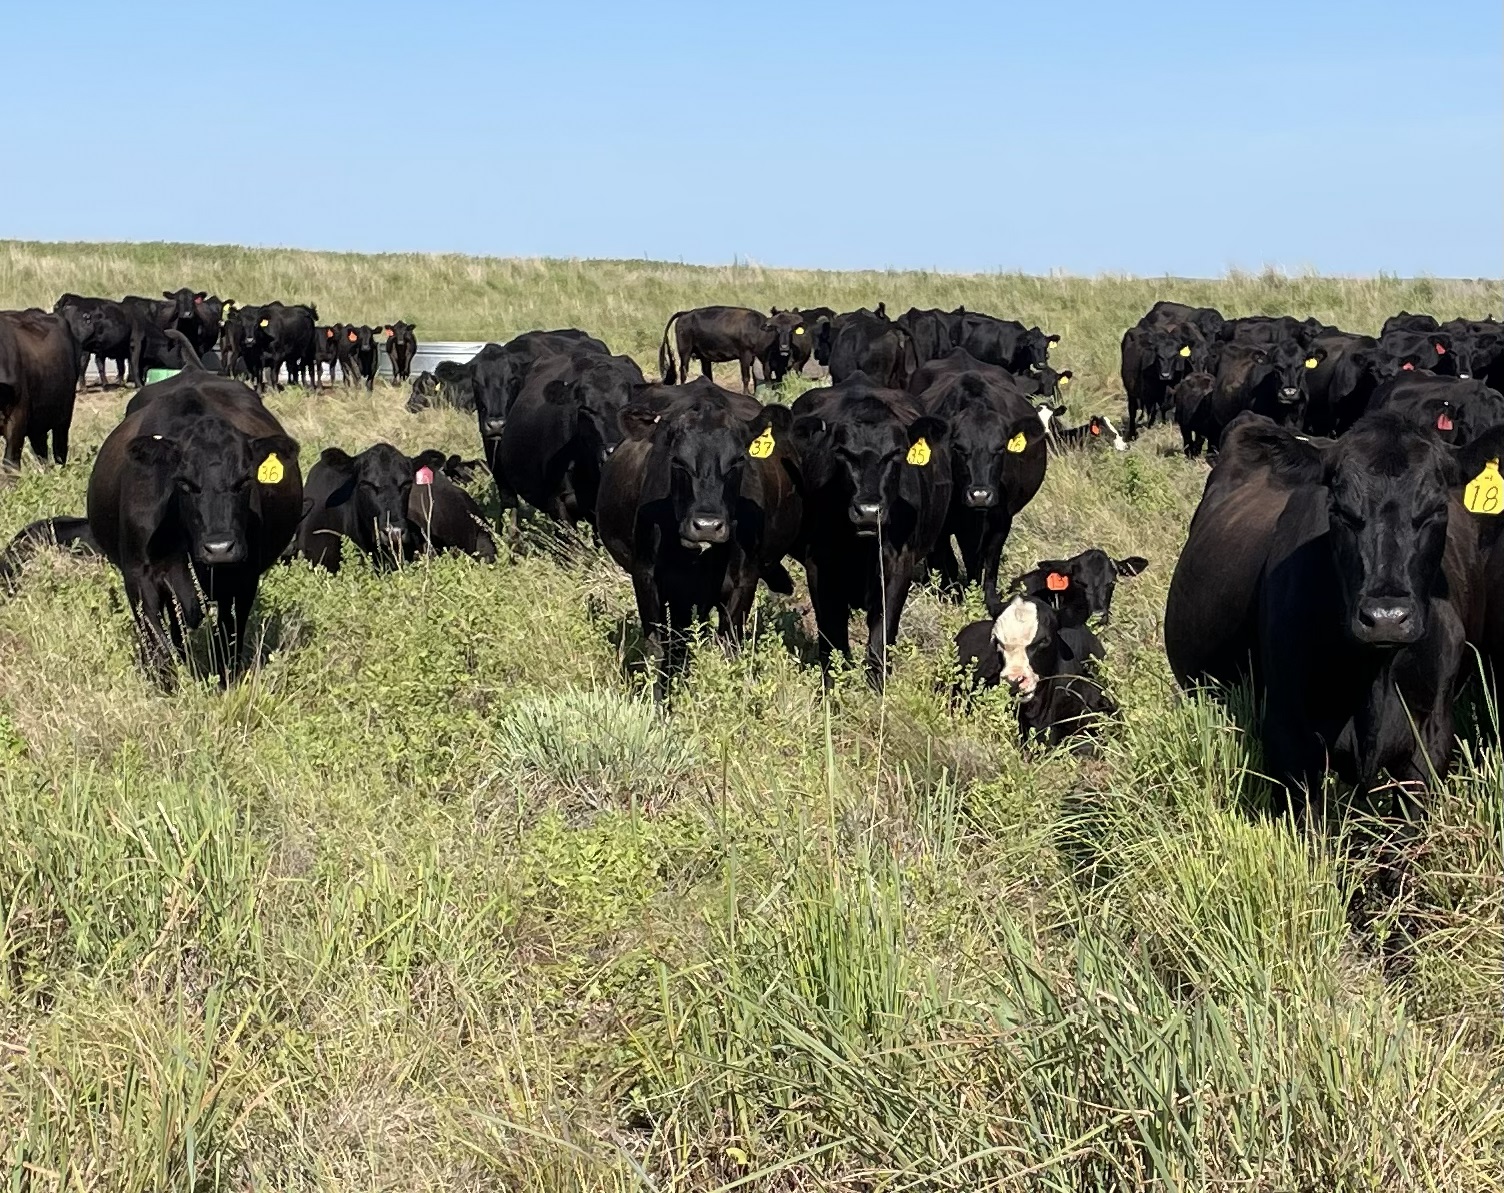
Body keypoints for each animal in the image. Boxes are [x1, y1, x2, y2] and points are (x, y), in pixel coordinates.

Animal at [0, 309, 79, 470]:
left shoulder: (17, 416)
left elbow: (10, 462)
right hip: (39, 423)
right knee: (42, 452)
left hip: (64, 416)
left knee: (59, 450)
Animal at [596, 386, 800, 694]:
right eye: (677, 461)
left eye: (738, 460)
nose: (707, 526)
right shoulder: (647, 577)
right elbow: (657, 648)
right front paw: (658, 703)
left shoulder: (743, 580)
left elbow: (730, 648)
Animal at [790, 374, 952, 685]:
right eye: (842, 453)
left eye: (895, 453)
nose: (868, 512)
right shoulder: (819, 566)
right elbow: (832, 633)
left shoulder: (899, 562)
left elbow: (882, 633)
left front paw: (877, 685)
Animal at [914, 366, 1049, 614]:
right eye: (958, 447)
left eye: (1000, 447)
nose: (980, 496)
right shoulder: (943, 522)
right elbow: (950, 560)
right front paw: (953, 593)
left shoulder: (1002, 519)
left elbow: (990, 561)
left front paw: (989, 599)